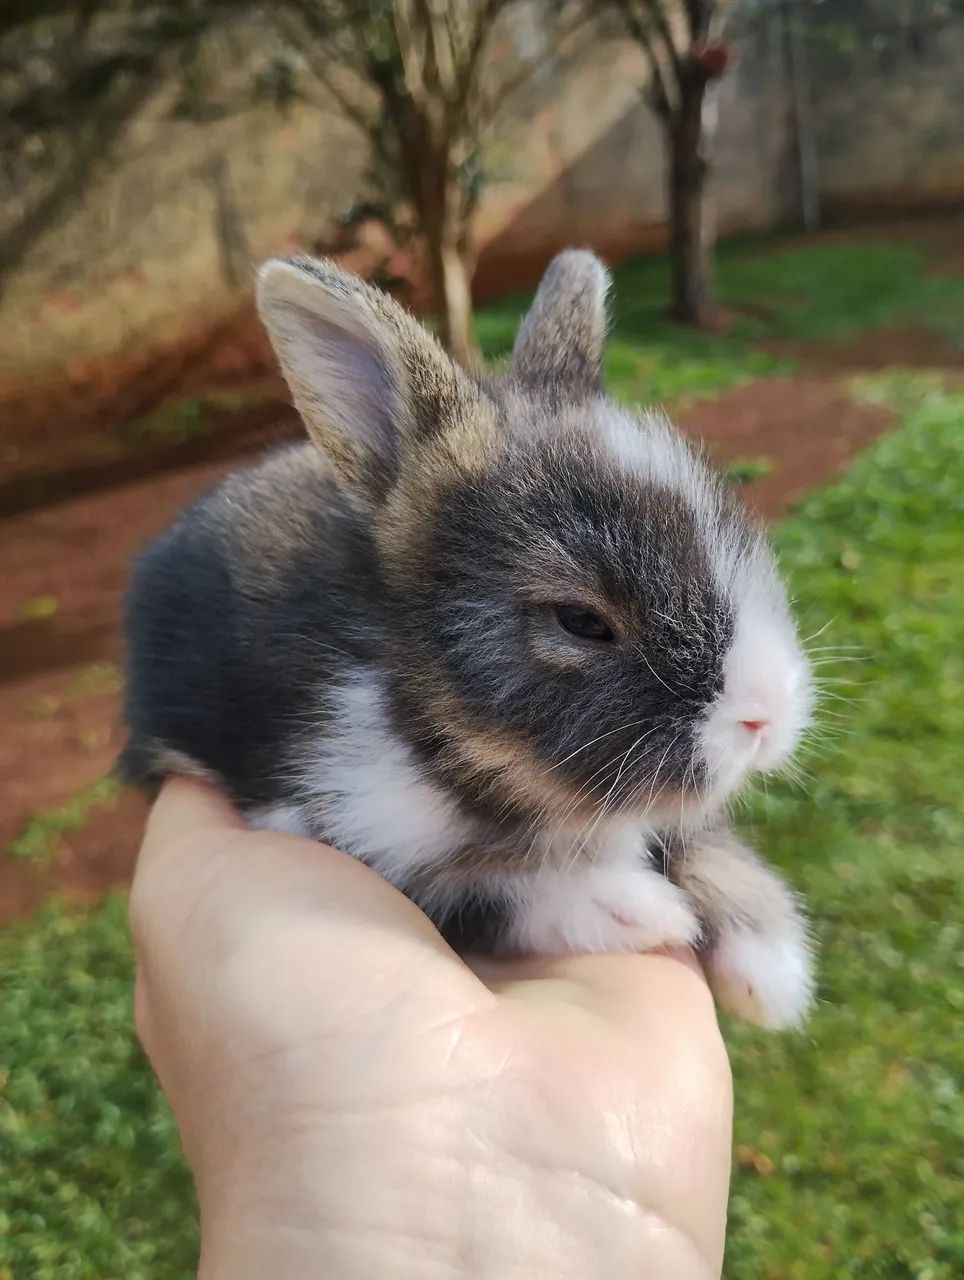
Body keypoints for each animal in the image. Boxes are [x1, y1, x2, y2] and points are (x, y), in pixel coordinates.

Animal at [121, 248, 815, 1029]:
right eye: (580, 621)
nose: (765, 717)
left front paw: (771, 970)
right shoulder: (334, 828)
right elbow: (487, 892)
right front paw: (635, 909)